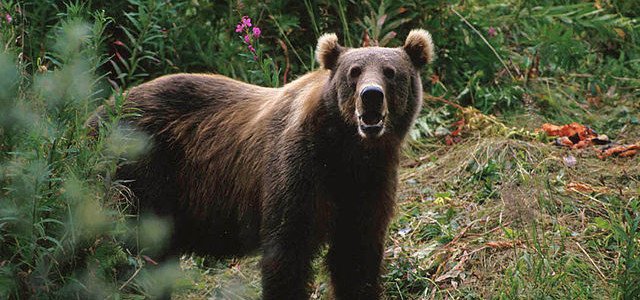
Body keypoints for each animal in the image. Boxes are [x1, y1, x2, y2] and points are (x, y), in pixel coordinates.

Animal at [94, 28, 436, 300]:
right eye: (354, 71)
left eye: (390, 71)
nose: (371, 96)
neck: (346, 149)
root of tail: (100, 111)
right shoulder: (299, 170)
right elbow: (286, 253)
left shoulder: (369, 181)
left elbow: (356, 255)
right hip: (140, 172)